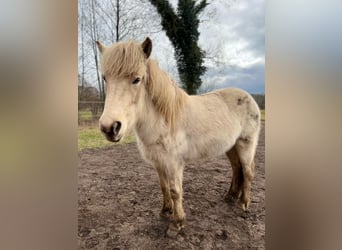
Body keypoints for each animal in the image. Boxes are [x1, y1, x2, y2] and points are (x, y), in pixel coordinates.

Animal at [95, 37, 260, 236]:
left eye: (137, 79)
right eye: (105, 78)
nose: (109, 127)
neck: (164, 119)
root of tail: (249, 98)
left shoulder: (174, 163)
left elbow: (175, 190)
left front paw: (177, 223)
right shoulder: (159, 162)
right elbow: (164, 186)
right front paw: (165, 211)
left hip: (246, 145)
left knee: (248, 171)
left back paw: (243, 204)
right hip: (231, 147)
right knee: (237, 168)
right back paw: (230, 197)